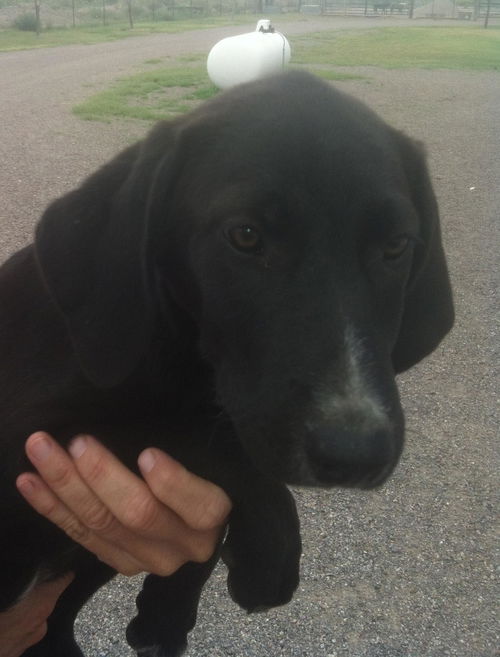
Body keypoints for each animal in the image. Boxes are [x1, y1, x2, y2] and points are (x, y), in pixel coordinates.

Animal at [0, 69, 454, 652]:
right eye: (245, 235)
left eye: (397, 245)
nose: (355, 454)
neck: (182, 361)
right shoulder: (29, 437)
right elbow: (195, 440)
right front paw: (270, 554)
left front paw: (166, 613)